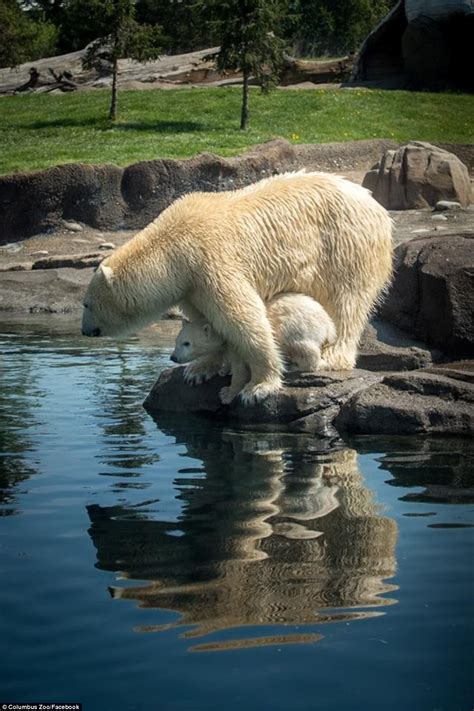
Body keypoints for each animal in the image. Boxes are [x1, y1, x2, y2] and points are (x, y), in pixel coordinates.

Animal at [81, 172, 392, 404]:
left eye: (87, 304)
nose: (84, 331)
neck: (173, 247)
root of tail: (377, 207)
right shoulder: (191, 283)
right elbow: (207, 320)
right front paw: (199, 369)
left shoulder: (210, 262)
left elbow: (244, 318)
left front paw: (258, 387)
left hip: (345, 244)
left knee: (346, 301)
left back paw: (331, 356)